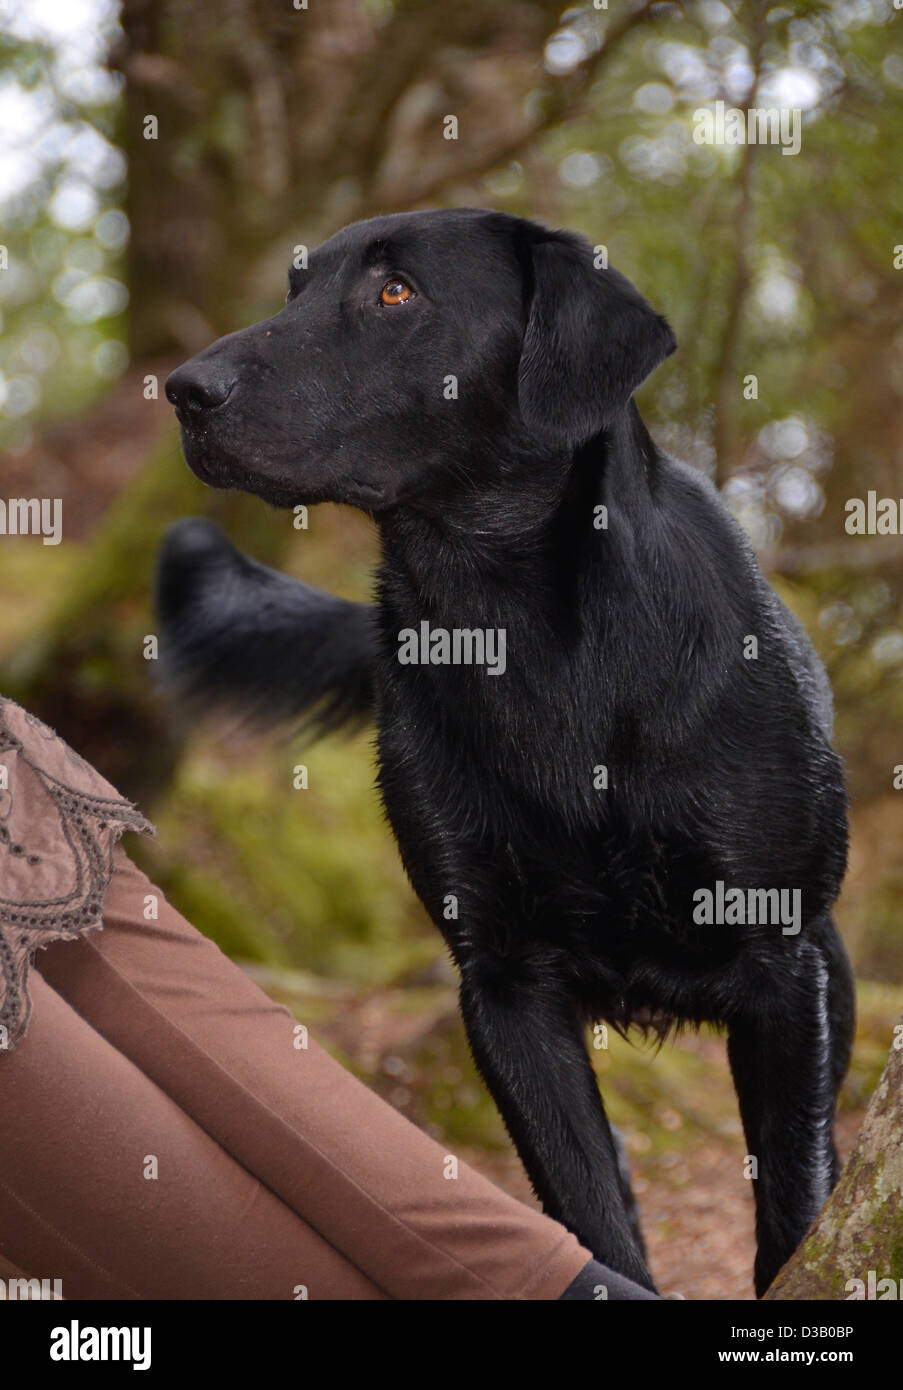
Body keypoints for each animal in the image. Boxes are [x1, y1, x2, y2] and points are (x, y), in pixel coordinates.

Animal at [158, 205, 855, 1289]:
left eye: (395, 292)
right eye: (294, 290)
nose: (186, 390)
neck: (519, 636)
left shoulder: (781, 964)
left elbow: (791, 1204)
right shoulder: (503, 983)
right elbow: (590, 1215)